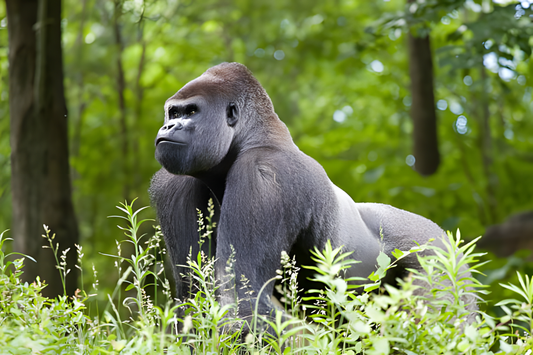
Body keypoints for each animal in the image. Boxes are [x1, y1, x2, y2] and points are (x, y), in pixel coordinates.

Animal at [148, 62, 476, 326]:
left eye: (192, 112)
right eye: (173, 112)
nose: (169, 125)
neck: (254, 137)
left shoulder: (264, 174)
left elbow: (244, 298)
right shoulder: (175, 184)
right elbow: (195, 296)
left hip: (438, 255)